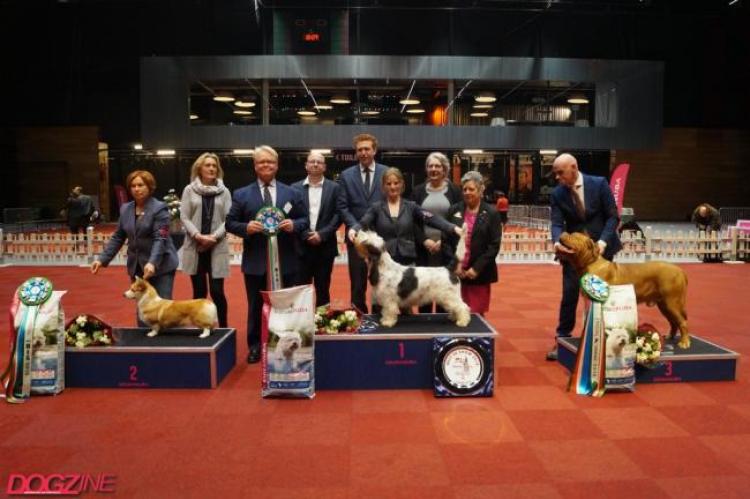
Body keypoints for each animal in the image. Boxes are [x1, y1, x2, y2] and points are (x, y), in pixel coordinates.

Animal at [564, 232, 692, 350]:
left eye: (574, 236)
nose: (564, 233)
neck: (590, 263)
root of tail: (680, 270)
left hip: (672, 303)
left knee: (682, 322)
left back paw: (684, 342)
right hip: (664, 305)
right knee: (674, 321)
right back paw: (671, 336)